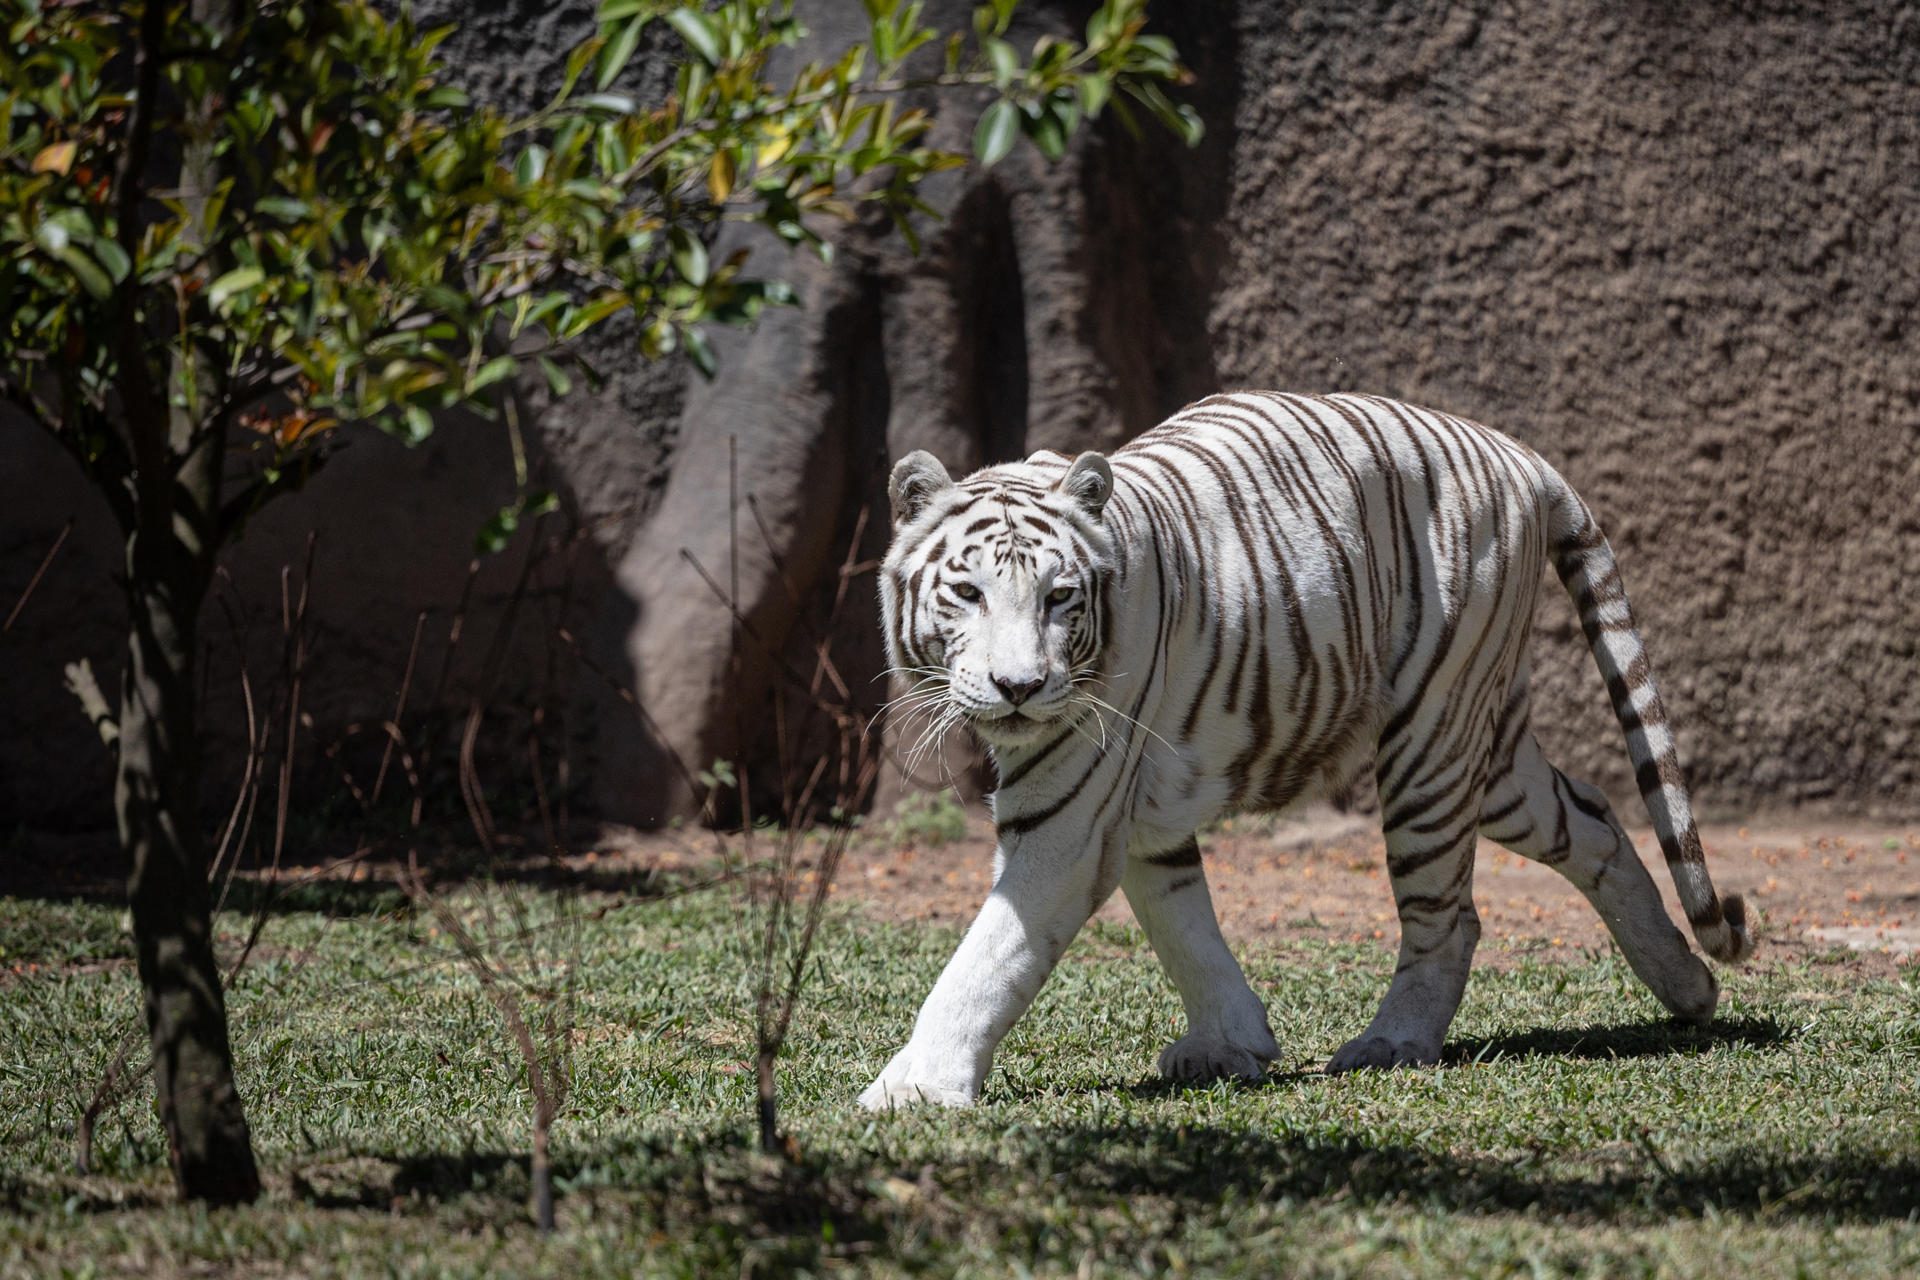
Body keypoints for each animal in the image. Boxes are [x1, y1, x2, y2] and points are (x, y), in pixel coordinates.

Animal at [864, 391, 1751, 1113]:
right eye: (968, 593)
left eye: (1059, 598)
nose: (1019, 686)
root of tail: (1522, 456)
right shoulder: (1139, 802)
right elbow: (1181, 920)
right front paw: (1231, 1041)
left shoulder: (1069, 811)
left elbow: (987, 957)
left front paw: (916, 1087)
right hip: (1490, 754)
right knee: (1594, 821)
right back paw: (1690, 987)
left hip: (1431, 736)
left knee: (1450, 917)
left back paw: (1393, 1043)